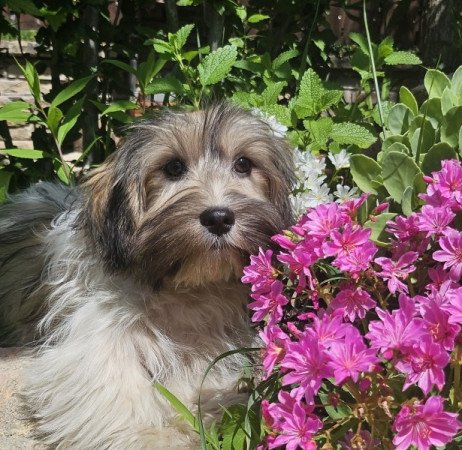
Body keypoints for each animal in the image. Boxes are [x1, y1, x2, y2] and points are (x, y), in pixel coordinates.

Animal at [0, 103, 294, 450]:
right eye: (173, 168)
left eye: (243, 164)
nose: (219, 217)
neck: (186, 287)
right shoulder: (94, 337)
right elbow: (111, 386)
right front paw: (151, 436)